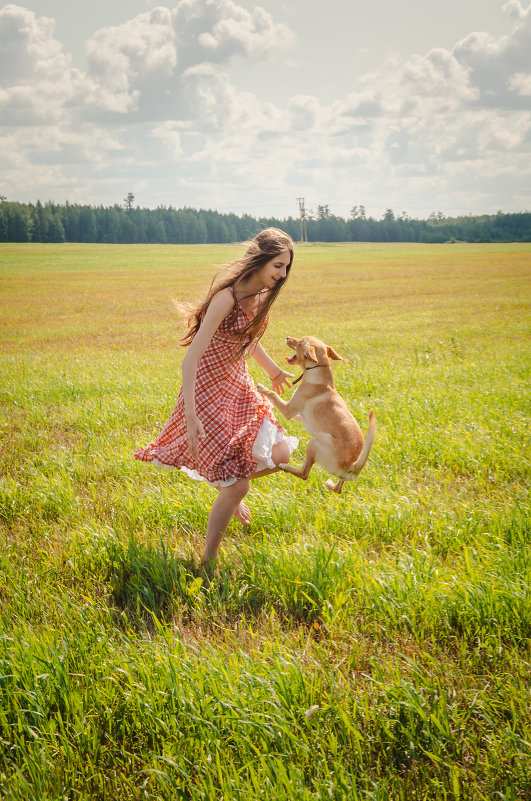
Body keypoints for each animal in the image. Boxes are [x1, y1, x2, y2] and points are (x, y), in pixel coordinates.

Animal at [256, 334, 374, 490]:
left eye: (300, 343)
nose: (288, 337)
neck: (317, 370)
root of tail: (353, 466)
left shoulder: (288, 410)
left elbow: (273, 394)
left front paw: (262, 388)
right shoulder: (299, 414)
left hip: (316, 441)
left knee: (304, 473)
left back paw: (285, 466)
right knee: (338, 488)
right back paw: (330, 484)